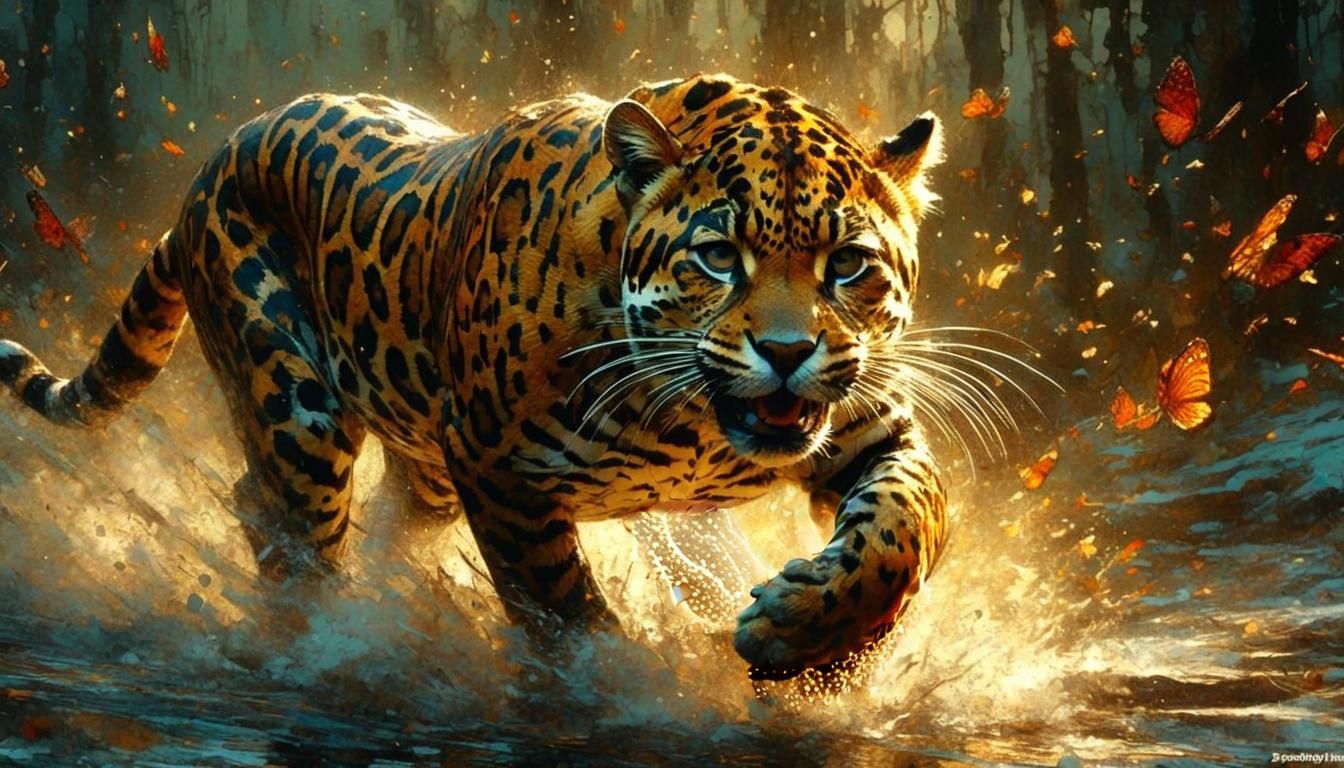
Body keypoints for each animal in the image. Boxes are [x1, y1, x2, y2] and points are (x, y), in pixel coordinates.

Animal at [0, 74, 947, 679]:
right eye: (718, 257)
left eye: (848, 264)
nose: (787, 353)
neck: (691, 422)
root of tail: (213, 166)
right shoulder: (498, 467)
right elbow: (558, 606)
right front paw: (616, 685)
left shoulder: (874, 429)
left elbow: (905, 527)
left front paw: (807, 635)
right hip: (296, 408)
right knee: (285, 517)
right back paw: (326, 640)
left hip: (421, 463)